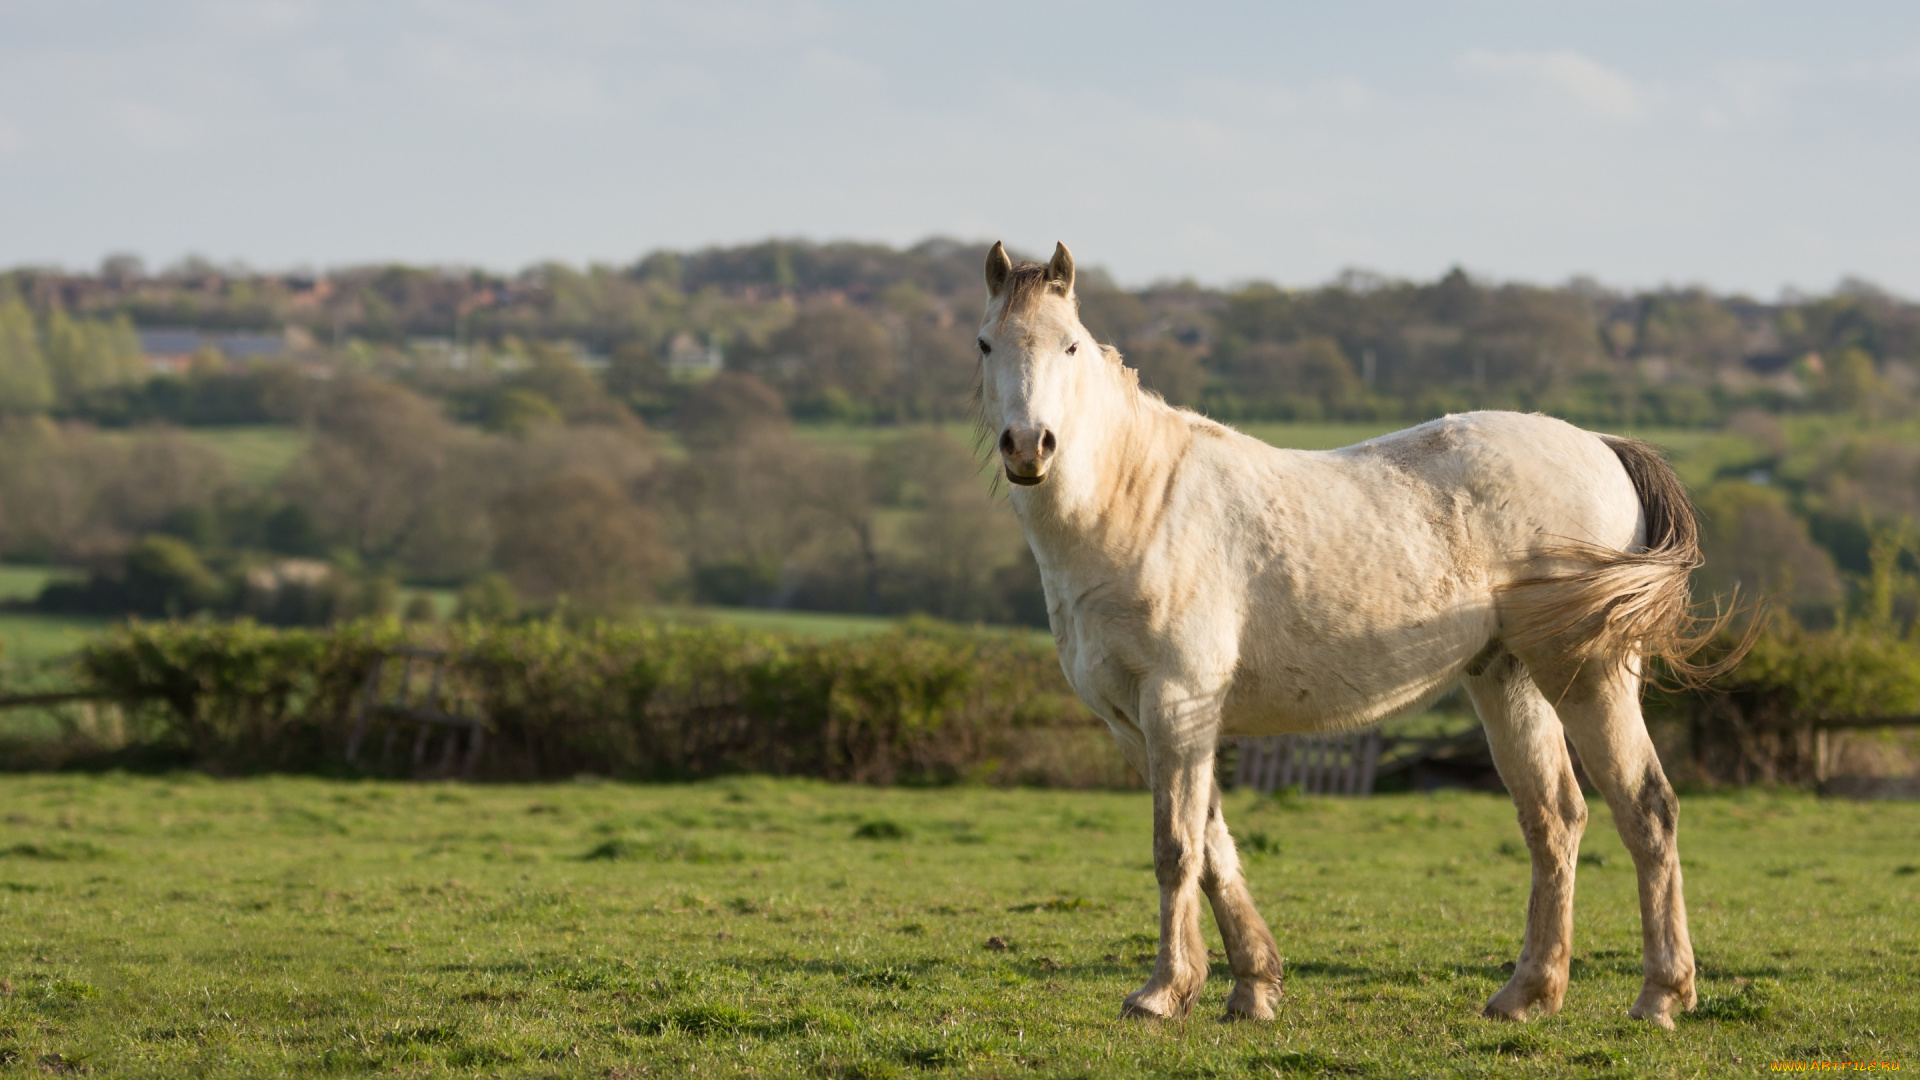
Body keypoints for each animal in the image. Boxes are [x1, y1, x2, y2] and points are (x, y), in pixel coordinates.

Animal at [983, 242, 1735, 1022]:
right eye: (985, 344)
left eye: (1069, 345)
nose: (1028, 447)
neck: (1139, 504)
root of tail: (1601, 445)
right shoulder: (1137, 724)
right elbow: (1215, 849)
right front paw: (1252, 987)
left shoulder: (1177, 706)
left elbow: (1177, 849)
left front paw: (1164, 992)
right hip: (1510, 681)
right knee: (1554, 819)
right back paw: (1527, 994)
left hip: (1587, 676)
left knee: (1647, 810)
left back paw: (1661, 996)